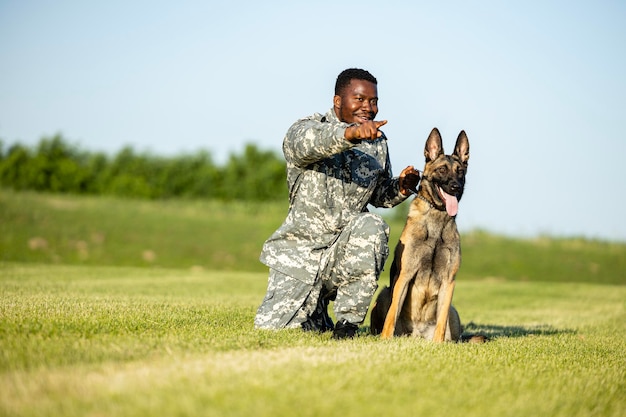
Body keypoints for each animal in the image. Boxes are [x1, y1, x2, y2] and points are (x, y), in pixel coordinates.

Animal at [368, 127, 466, 342]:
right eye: (442, 170)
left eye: (460, 171)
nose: (456, 186)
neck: (437, 219)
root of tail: (417, 335)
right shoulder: (405, 275)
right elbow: (392, 313)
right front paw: (385, 340)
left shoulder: (449, 282)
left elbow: (441, 320)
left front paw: (438, 344)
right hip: (384, 293)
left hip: (453, 310)